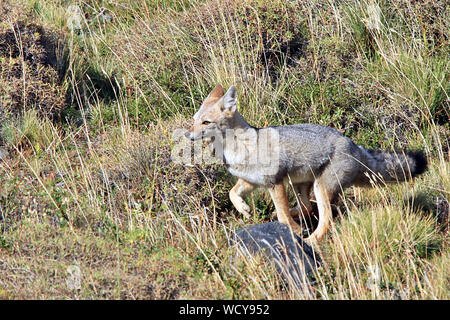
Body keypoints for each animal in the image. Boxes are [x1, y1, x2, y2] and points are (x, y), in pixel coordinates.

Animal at [185, 84, 428, 242]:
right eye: (194, 121)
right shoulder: (251, 181)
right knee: (305, 206)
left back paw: (310, 240)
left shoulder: (275, 182)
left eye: (206, 122)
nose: (188, 135)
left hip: (320, 188)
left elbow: (282, 212)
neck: (238, 146)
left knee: (324, 220)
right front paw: (244, 209)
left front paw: (291, 229)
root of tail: (355, 146)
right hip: (300, 184)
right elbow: (232, 194)